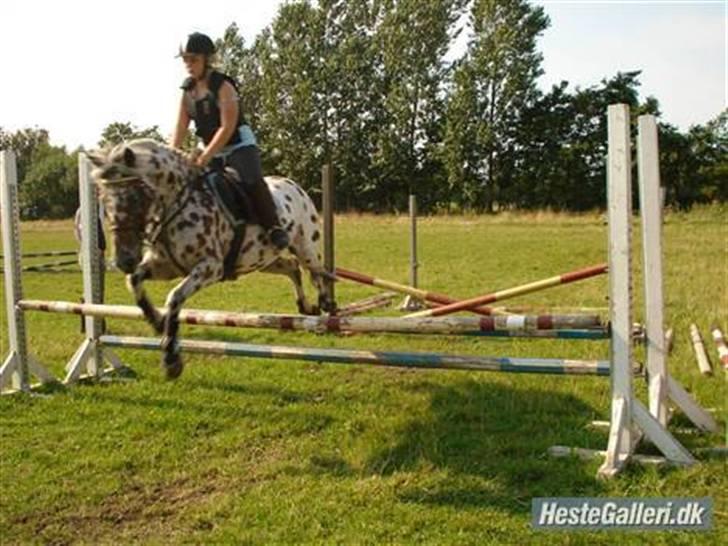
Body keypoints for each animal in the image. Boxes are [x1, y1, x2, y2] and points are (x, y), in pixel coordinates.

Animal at [86, 137, 336, 378]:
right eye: (103, 201)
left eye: (134, 197)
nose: (124, 260)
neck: (177, 203)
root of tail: (293, 185)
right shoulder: (165, 267)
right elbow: (134, 281)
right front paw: (157, 321)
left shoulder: (210, 267)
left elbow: (174, 297)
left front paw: (171, 360)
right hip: (265, 260)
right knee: (292, 267)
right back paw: (305, 307)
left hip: (305, 246)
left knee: (318, 272)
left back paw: (326, 306)